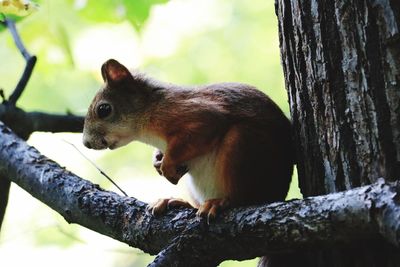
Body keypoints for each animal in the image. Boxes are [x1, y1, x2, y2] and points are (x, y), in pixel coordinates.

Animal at [82, 58, 294, 222]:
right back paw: (175, 202)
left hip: (242, 146)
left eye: (104, 109)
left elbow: (197, 133)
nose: (86, 143)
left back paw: (221, 202)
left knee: (244, 199)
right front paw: (157, 159)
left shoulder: (195, 115)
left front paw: (167, 165)